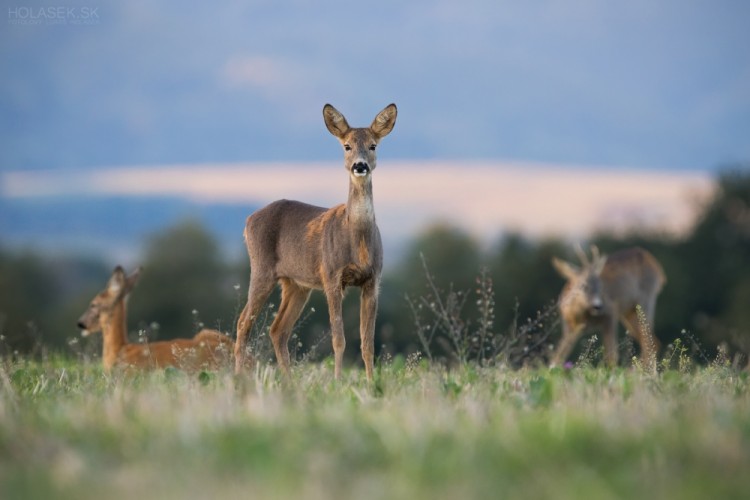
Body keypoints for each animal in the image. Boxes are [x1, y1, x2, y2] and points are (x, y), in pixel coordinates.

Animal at [235, 103, 400, 380]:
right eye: (347, 146)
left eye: (373, 145)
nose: (360, 166)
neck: (357, 241)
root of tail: (248, 221)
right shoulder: (332, 276)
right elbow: (339, 338)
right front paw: (337, 381)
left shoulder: (373, 280)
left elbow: (367, 341)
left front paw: (371, 382)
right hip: (261, 269)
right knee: (243, 321)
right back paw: (237, 377)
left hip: (296, 284)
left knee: (277, 329)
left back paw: (288, 381)